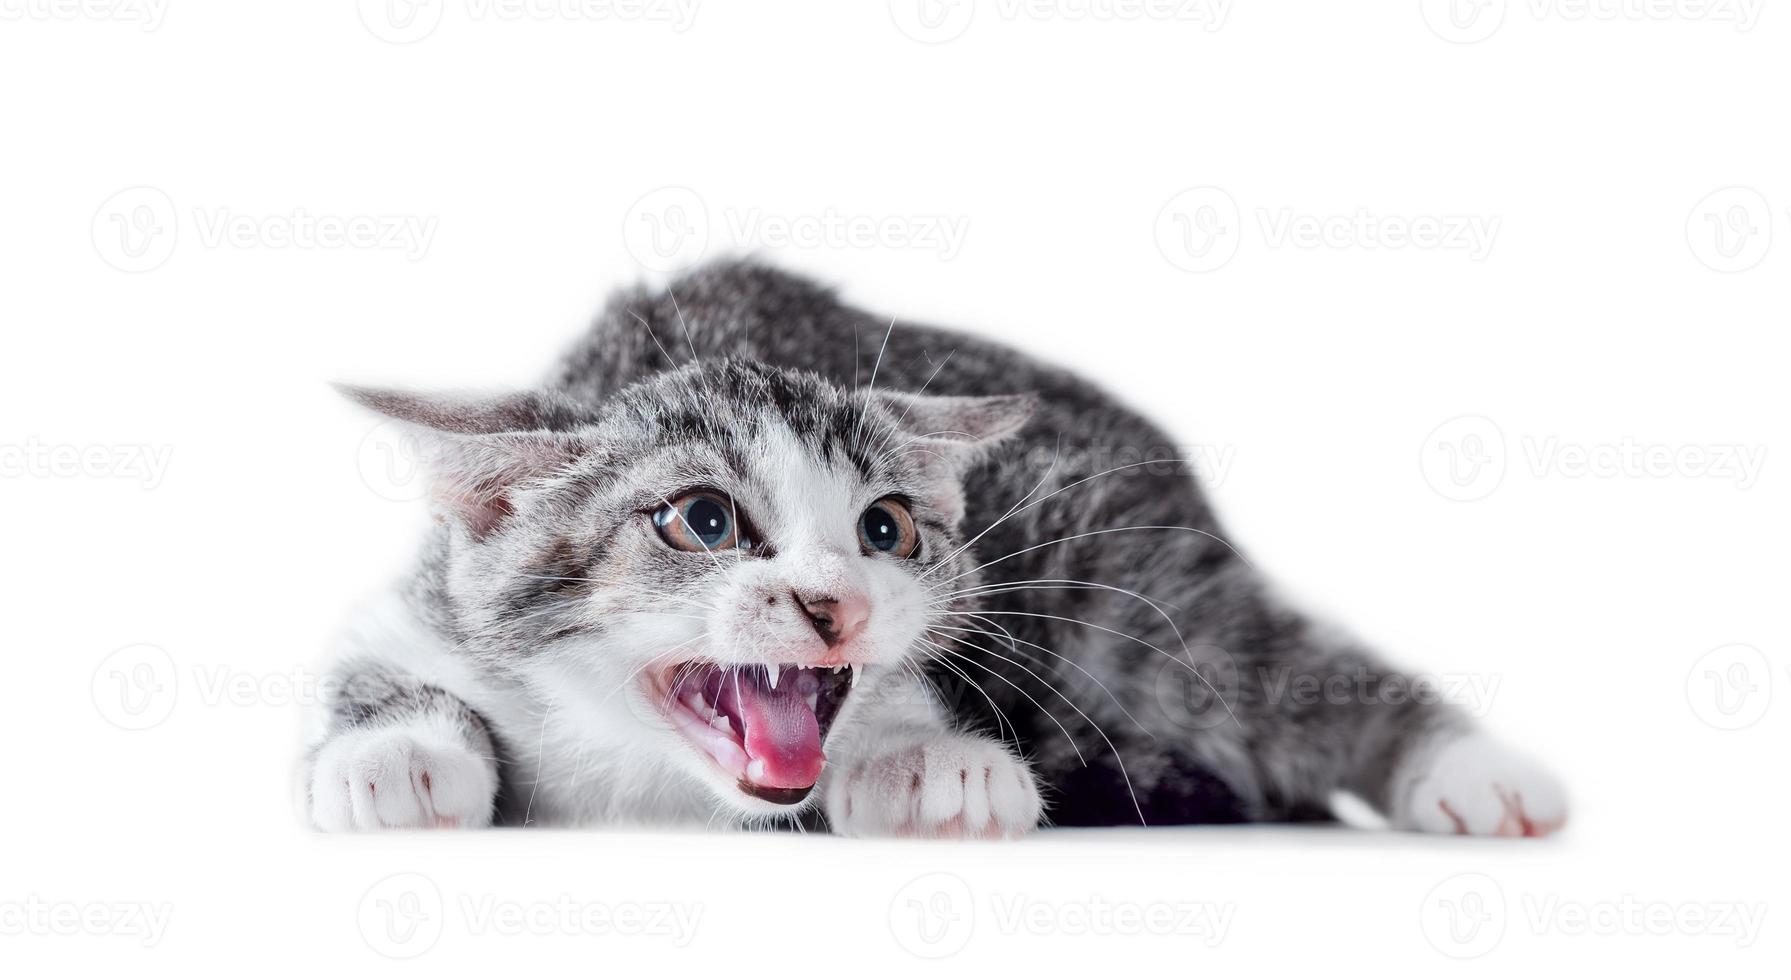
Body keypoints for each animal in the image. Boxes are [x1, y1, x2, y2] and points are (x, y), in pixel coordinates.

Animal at [308, 257, 1568, 834]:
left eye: (887, 527)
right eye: (702, 520)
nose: (836, 603)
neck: (646, 775)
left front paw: (928, 761)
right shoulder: (425, 606)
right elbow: (374, 671)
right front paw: (394, 753)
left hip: (1128, 586)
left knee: (1283, 666)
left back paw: (1480, 773)